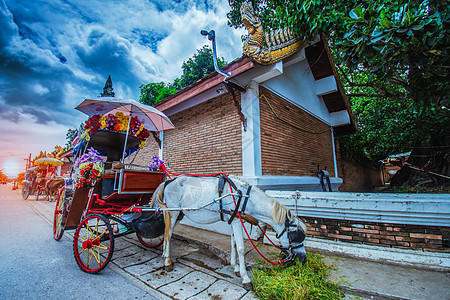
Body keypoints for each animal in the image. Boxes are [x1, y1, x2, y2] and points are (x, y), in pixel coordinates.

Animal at [149, 176, 308, 288]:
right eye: (296, 234)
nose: (303, 259)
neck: (245, 198)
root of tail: (169, 181)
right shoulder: (237, 221)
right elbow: (241, 247)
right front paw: (245, 278)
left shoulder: (233, 220)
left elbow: (234, 244)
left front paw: (235, 267)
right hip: (173, 212)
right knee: (168, 235)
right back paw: (167, 262)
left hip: (179, 214)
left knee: (167, 232)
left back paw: (164, 255)